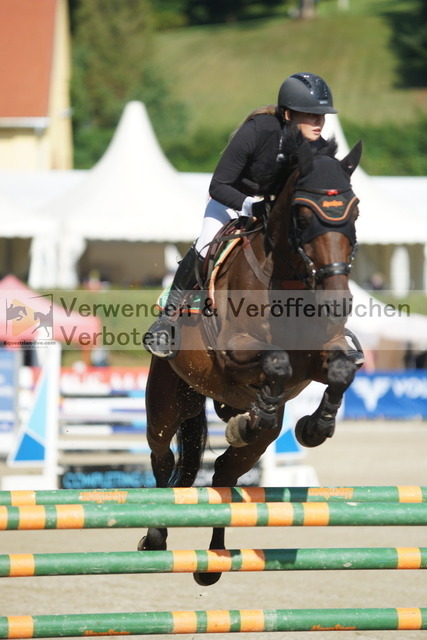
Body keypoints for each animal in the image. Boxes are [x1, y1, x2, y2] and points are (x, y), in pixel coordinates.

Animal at [140, 135, 364, 584]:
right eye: (302, 216)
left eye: (355, 212)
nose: (338, 301)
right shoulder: (235, 349)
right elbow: (274, 361)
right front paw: (265, 410)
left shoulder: (319, 355)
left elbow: (342, 370)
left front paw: (314, 427)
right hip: (167, 402)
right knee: (164, 456)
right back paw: (156, 536)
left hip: (251, 440)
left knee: (224, 474)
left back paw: (214, 559)